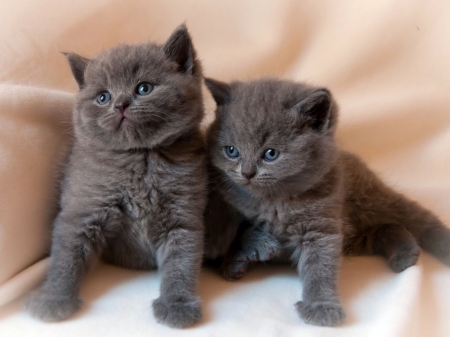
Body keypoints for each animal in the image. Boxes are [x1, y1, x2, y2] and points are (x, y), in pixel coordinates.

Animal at [25, 24, 207, 328]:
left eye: (144, 88)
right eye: (103, 97)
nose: (120, 104)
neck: (140, 158)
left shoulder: (183, 216)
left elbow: (181, 263)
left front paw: (177, 304)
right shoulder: (83, 209)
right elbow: (66, 257)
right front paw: (53, 298)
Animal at [203, 77, 450, 326]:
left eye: (271, 154)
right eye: (231, 151)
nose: (247, 173)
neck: (273, 202)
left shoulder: (321, 227)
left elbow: (320, 267)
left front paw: (321, 307)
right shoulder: (227, 209)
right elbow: (239, 232)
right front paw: (257, 247)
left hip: (371, 199)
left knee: (416, 218)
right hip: (356, 235)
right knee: (387, 228)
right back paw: (405, 255)